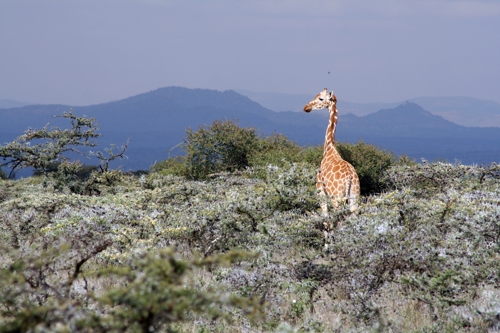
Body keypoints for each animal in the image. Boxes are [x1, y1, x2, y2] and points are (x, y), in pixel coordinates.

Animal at [300, 87, 360, 215]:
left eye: (321, 98)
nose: (306, 107)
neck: (329, 148)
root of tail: (349, 178)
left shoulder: (320, 189)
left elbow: (325, 214)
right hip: (354, 197)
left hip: (336, 198)